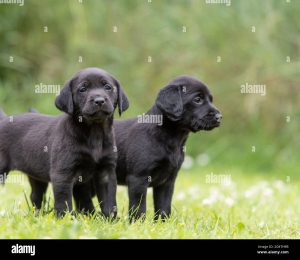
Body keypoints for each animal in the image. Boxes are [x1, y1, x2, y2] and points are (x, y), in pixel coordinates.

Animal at [0, 67, 128, 217]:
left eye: (108, 87)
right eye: (83, 89)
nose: (99, 101)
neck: (94, 132)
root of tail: (3, 119)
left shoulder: (106, 172)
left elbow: (109, 200)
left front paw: (111, 219)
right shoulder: (62, 174)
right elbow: (64, 201)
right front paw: (64, 218)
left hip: (37, 176)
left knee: (35, 196)